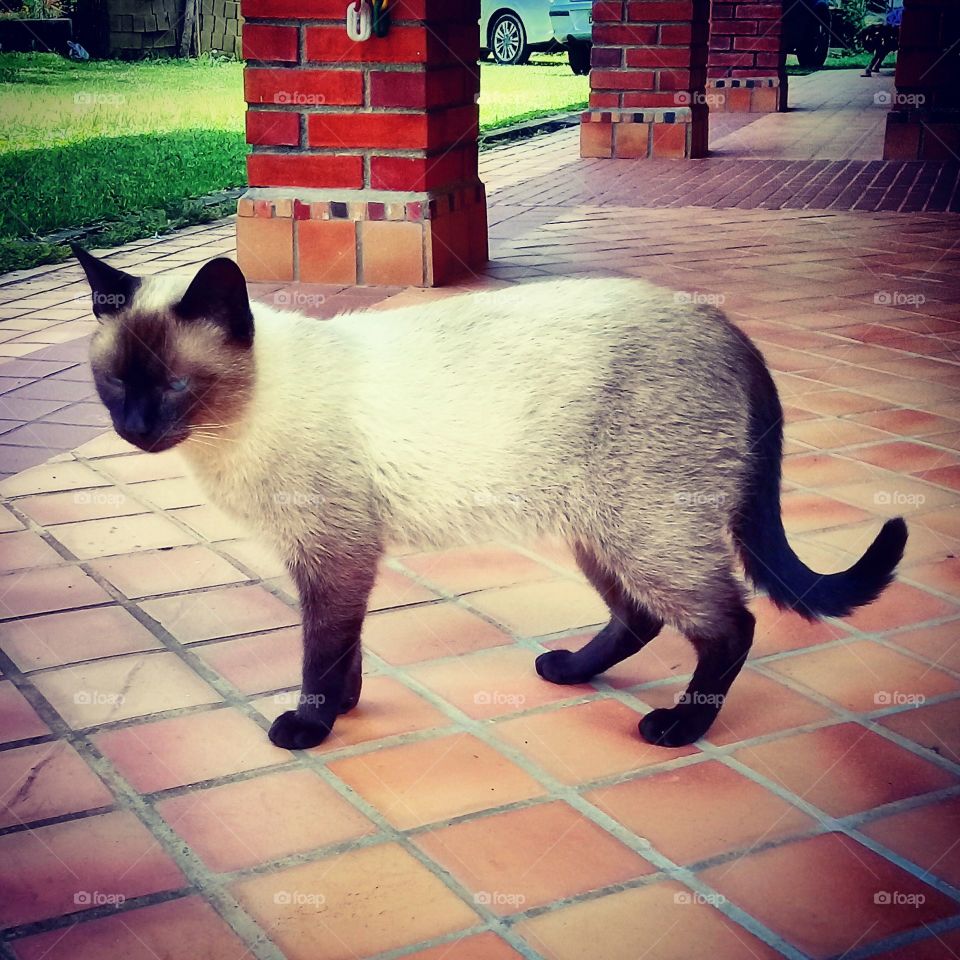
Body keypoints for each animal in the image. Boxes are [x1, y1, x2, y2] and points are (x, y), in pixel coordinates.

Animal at [75, 251, 908, 752]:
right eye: (114, 385)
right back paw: (569, 671)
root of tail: (723, 323)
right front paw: (346, 710)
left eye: (175, 386)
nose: (136, 430)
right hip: (600, 532)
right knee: (639, 617)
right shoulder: (338, 562)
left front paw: (310, 726)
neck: (232, 427)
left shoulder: (335, 555)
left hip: (645, 531)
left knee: (731, 625)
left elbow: (320, 653)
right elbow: (345, 650)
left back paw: (677, 727)